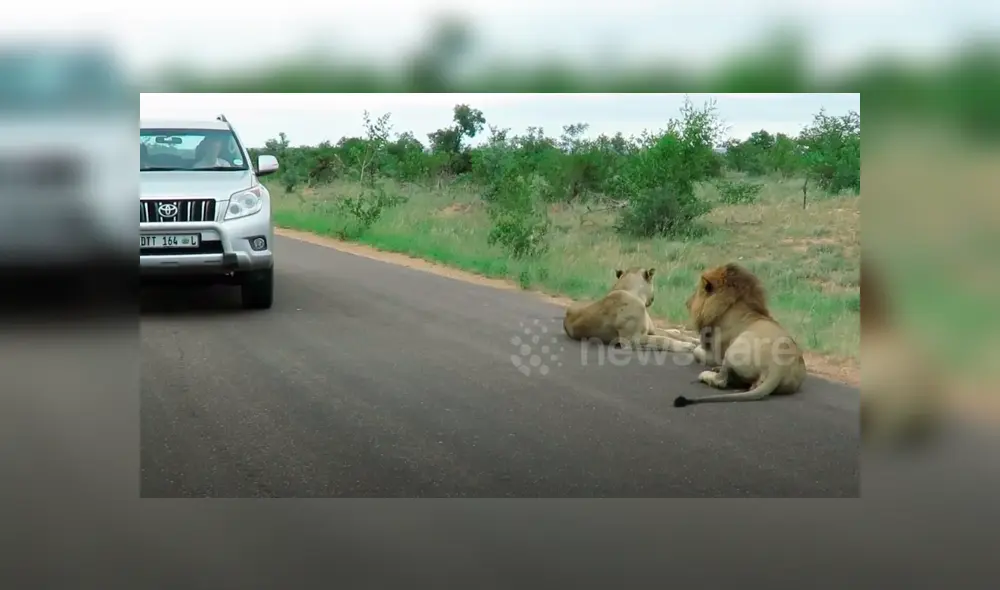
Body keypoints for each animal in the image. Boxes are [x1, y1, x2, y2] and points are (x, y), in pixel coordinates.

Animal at [563, 266, 699, 353]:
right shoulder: (632, 340)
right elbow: (663, 340)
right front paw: (686, 346)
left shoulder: (650, 331)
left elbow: (671, 335)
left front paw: (695, 340)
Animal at [673, 263, 807, 407]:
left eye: (697, 291)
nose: (687, 303)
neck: (726, 308)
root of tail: (778, 366)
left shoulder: (715, 355)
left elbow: (696, 352)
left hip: (733, 350)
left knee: (721, 381)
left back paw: (707, 374)